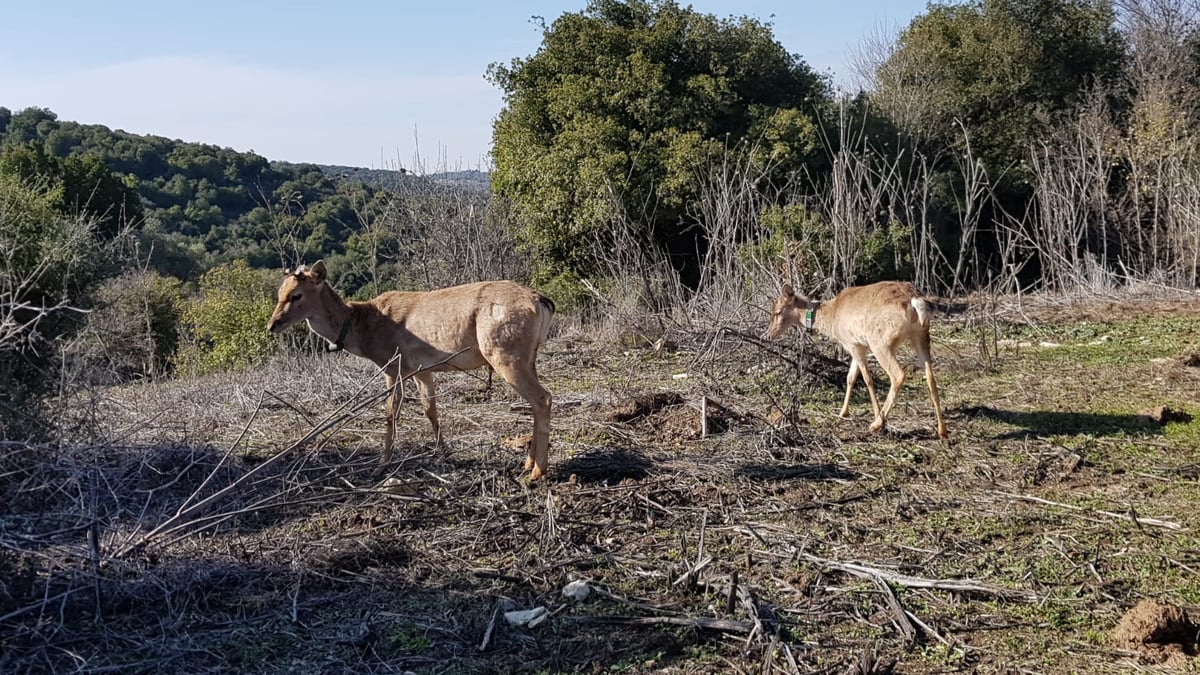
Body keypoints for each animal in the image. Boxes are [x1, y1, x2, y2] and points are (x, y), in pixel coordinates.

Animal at [768, 278, 945, 437]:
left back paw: (876, 424)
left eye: (777, 311)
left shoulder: (853, 344)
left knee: (898, 375)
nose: (769, 335)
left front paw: (875, 415)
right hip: (921, 336)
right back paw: (942, 431)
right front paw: (843, 413)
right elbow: (850, 377)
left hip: (880, 342)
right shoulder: (858, 345)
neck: (832, 318)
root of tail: (915, 302)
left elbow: (867, 378)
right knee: (931, 377)